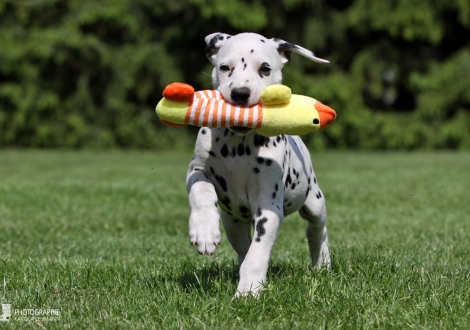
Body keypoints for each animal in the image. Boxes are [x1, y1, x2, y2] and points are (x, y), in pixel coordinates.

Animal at [186, 32, 330, 298]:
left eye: (265, 68)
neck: (238, 143)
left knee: (317, 230)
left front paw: (248, 291)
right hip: (232, 223)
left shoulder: (268, 207)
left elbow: (257, 253)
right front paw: (204, 230)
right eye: (224, 67)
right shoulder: (197, 170)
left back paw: (322, 263)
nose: (240, 93)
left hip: (314, 202)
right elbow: (201, 191)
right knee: (242, 246)